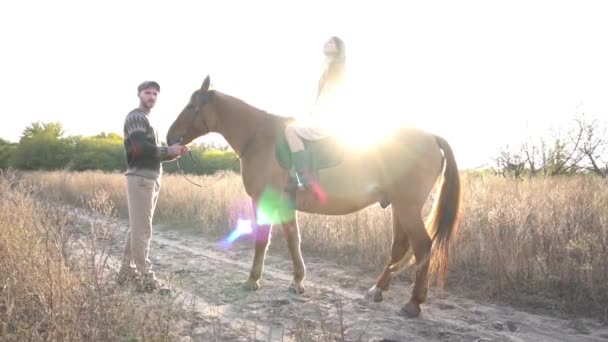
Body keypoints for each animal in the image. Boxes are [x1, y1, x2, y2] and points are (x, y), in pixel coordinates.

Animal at [166, 76, 460, 316]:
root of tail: (431, 137)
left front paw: (253, 280)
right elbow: (293, 240)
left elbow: (263, 241)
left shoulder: (263, 201)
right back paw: (378, 289)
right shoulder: (286, 205)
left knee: (422, 245)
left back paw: (413, 303)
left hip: (407, 207)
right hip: (399, 207)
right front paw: (297, 281)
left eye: (191, 107)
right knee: (400, 245)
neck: (259, 138)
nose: (170, 137)